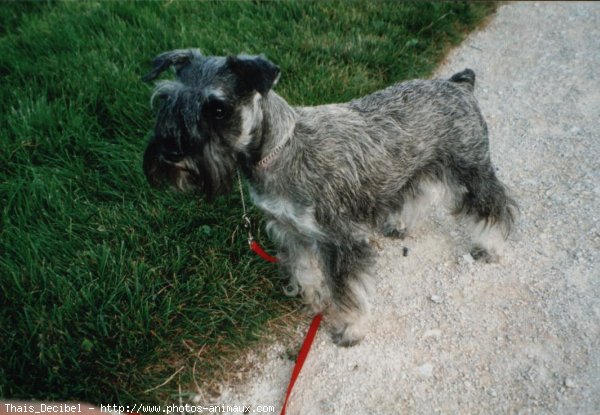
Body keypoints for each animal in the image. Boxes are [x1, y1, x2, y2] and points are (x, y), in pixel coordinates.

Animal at [141, 48, 516, 348]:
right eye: (167, 100)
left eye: (218, 109)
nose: (171, 152)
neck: (280, 152)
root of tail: (457, 83)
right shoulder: (291, 231)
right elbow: (306, 270)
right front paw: (314, 298)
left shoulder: (342, 241)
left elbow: (349, 293)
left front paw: (349, 328)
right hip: (418, 167)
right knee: (421, 193)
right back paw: (400, 224)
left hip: (470, 169)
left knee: (496, 206)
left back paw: (490, 246)